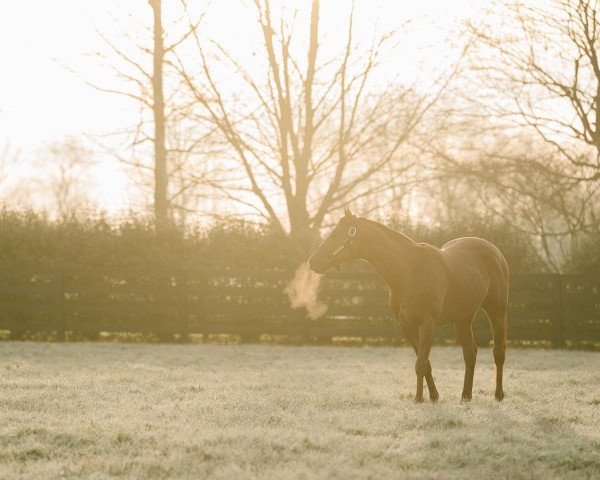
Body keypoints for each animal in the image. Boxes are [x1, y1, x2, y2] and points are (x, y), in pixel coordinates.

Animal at [308, 208, 508, 404]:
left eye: (335, 234)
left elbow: (420, 364)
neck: (410, 271)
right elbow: (425, 363)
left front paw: (418, 399)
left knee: (498, 353)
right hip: (462, 319)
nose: (312, 261)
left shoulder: (427, 323)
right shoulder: (406, 325)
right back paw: (466, 396)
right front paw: (433, 397)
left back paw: (498, 395)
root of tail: (495, 251)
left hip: (497, 313)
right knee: (470, 353)